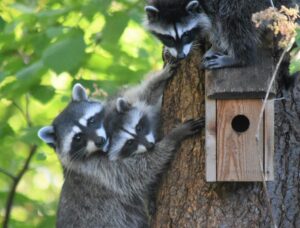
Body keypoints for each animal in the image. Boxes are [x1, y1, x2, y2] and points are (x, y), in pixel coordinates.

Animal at [145, 0, 292, 69]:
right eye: (168, 38)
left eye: (186, 34)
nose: (181, 56)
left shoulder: (209, 5)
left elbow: (216, 25)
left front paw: (216, 45)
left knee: (232, 18)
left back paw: (240, 57)